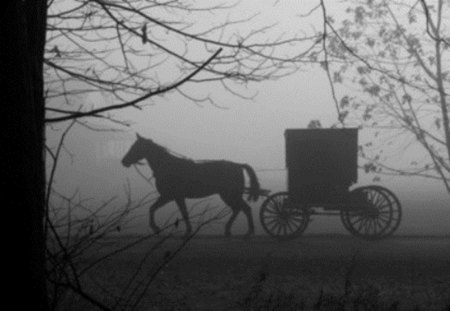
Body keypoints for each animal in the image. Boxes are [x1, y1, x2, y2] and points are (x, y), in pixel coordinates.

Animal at [120, 134, 260, 239]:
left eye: (135, 147)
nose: (124, 161)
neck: (168, 166)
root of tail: (238, 165)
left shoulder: (169, 196)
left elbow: (167, 210)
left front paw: (157, 228)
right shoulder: (172, 197)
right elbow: (172, 211)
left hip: (230, 195)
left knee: (245, 209)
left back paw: (248, 232)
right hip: (228, 195)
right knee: (238, 209)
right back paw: (228, 230)